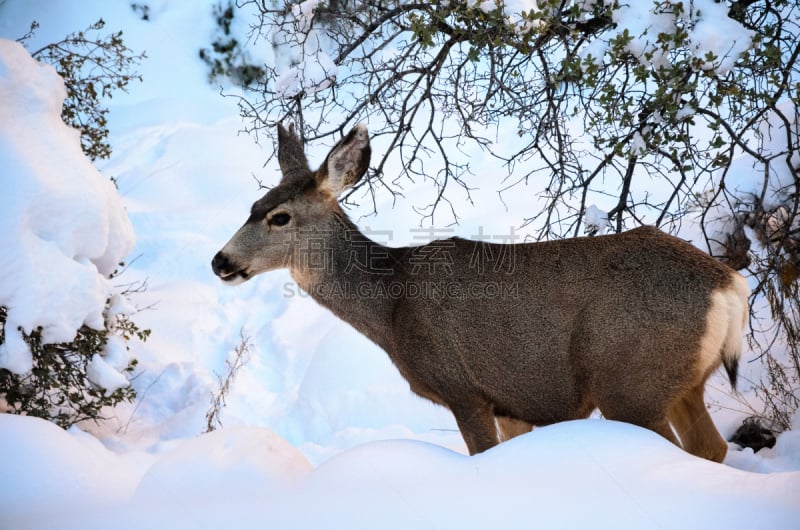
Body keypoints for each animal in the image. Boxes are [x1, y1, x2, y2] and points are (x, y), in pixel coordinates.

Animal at [212, 121, 752, 460]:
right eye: (253, 204)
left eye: (279, 217)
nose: (221, 261)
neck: (390, 306)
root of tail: (729, 285)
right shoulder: (512, 401)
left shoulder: (463, 387)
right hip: (682, 382)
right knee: (712, 447)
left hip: (630, 381)